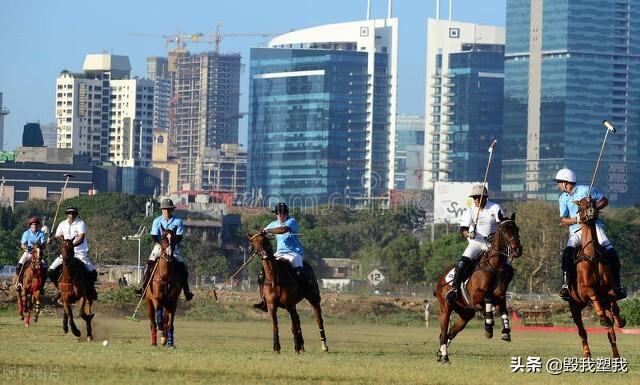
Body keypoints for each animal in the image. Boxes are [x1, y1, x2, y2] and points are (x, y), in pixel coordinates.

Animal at [432, 213, 524, 364]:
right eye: (504, 230)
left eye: (517, 229)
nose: (517, 249)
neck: (494, 266)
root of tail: (441, 279)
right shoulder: (476, 297)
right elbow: (487, 299)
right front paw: (488, 326)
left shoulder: (500, 296)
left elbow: (503, 309)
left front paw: (505, 331)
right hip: (446, 307)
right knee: (444, 332)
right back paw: (445, 356)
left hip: (465, 314)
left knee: (450, 333)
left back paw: (440, 354)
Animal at [568, 198, 624, 356]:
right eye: (581, 206)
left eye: (592, 201)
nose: (591, 210)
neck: (592, 255)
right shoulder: (584, 290)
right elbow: (592, 292)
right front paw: (602, 317)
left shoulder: (609, 289)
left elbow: (614, 304)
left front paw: (619, 321)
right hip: (574, 305)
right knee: (582, 332)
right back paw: (587, 354)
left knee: (611, 334)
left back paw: (617, 357)